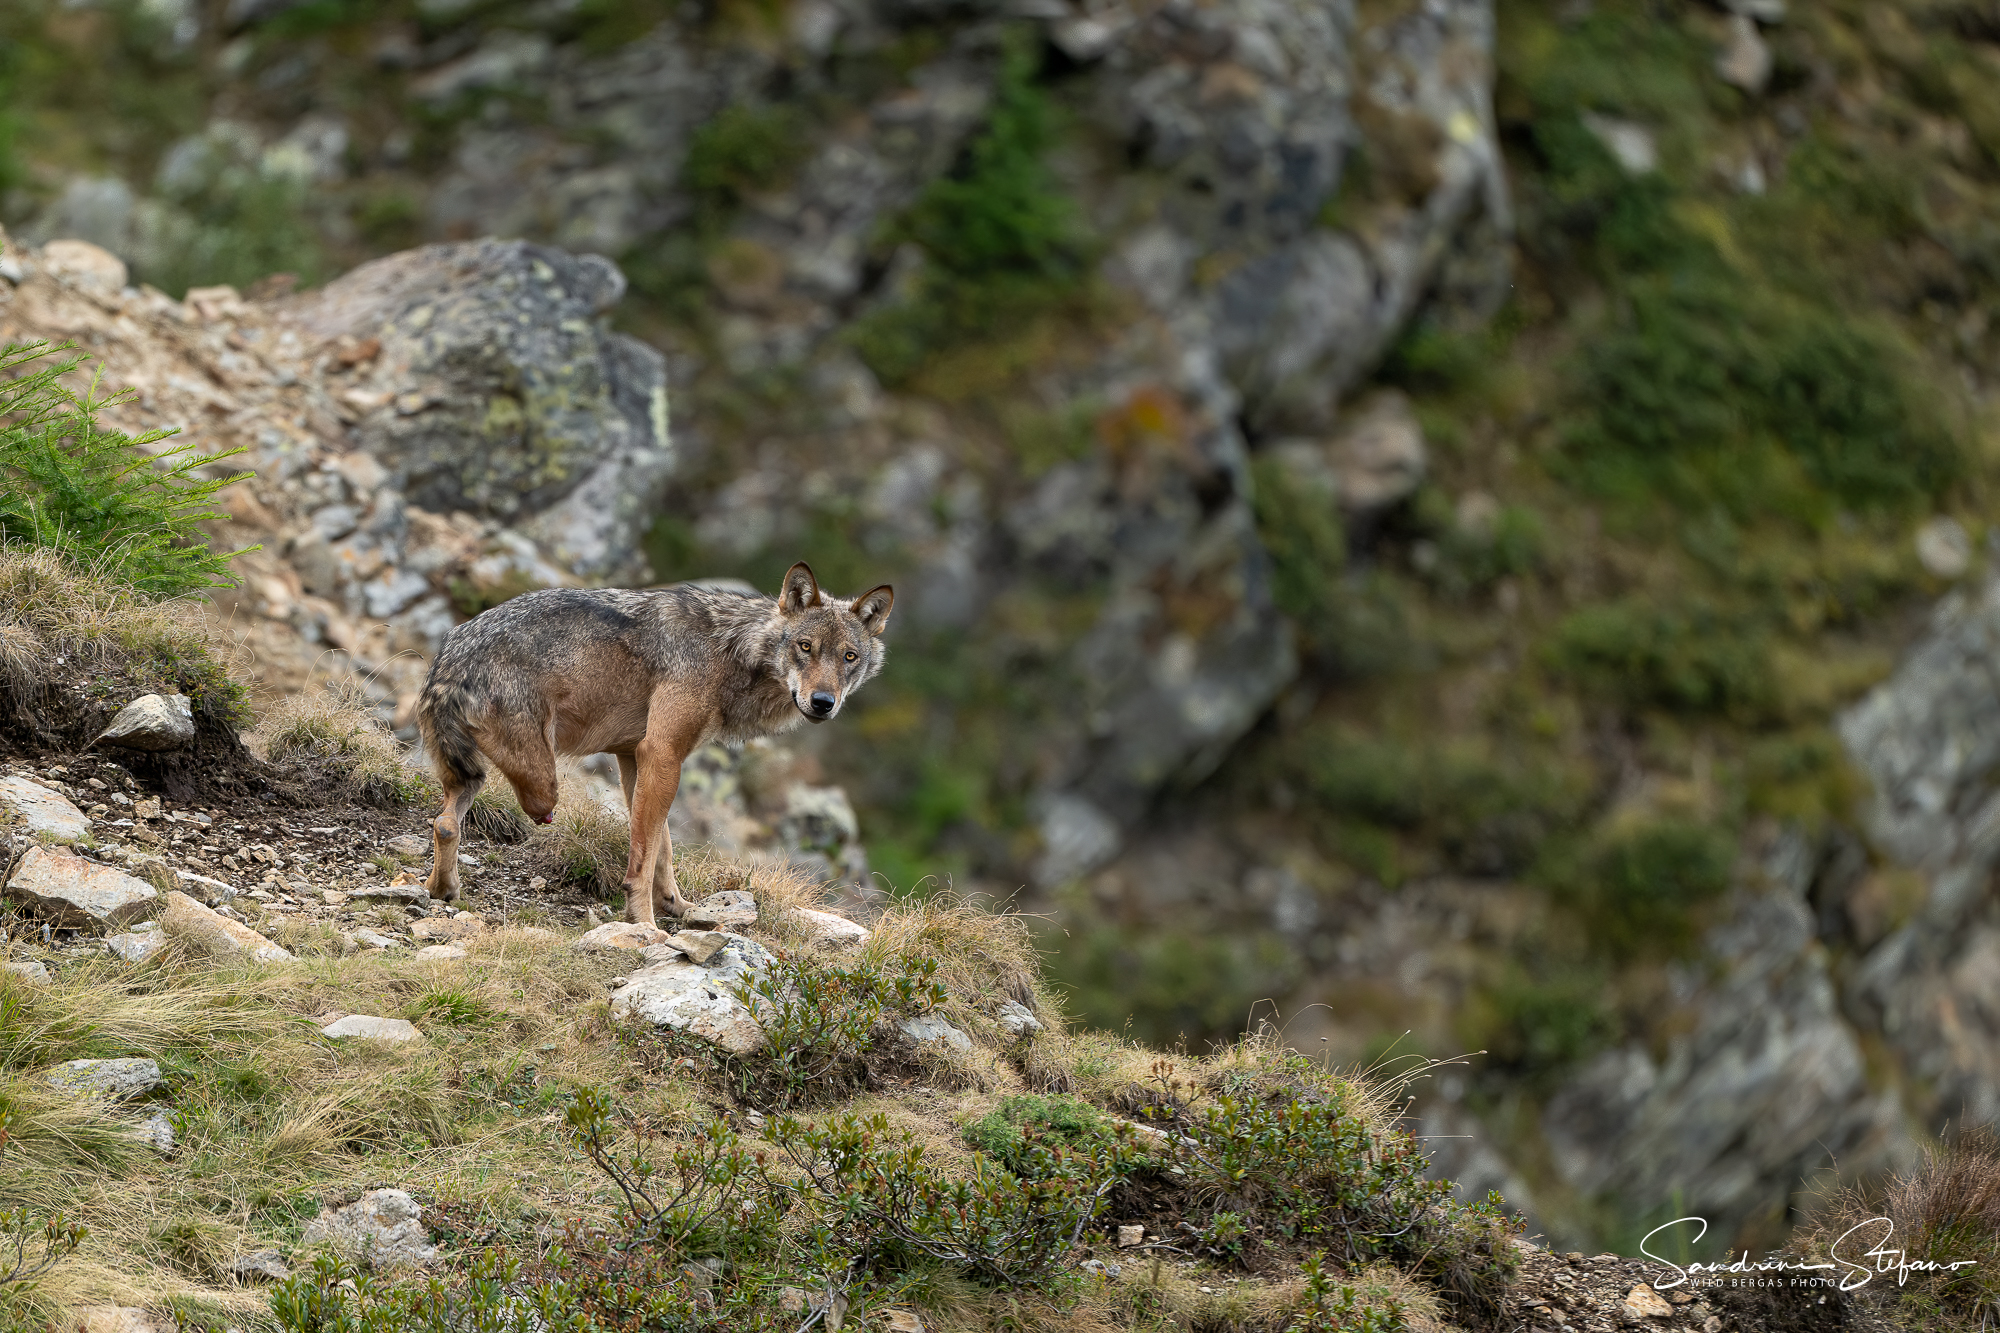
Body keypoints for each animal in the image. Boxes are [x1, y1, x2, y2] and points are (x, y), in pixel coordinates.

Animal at [414, 562, 893, 926]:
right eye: (805, 647)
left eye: (849, 657)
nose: (823, 702)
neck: (729, 650)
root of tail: (448, 662)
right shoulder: (662, 754)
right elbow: (644, 862)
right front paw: (646, 926)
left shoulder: (634, 758)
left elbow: (662, 849)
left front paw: (678, 908)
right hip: (542, 787)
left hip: (478, 778)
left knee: (444, 823)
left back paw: (441, 890)